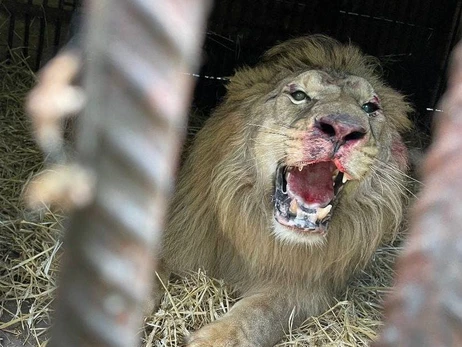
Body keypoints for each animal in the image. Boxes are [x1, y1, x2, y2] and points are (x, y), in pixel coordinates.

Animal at [158, 36, 412, 347]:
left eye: (369, 107)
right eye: (299, 95)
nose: (343, 128)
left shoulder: (304, 286)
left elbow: (259, 313)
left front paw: (216, 339)